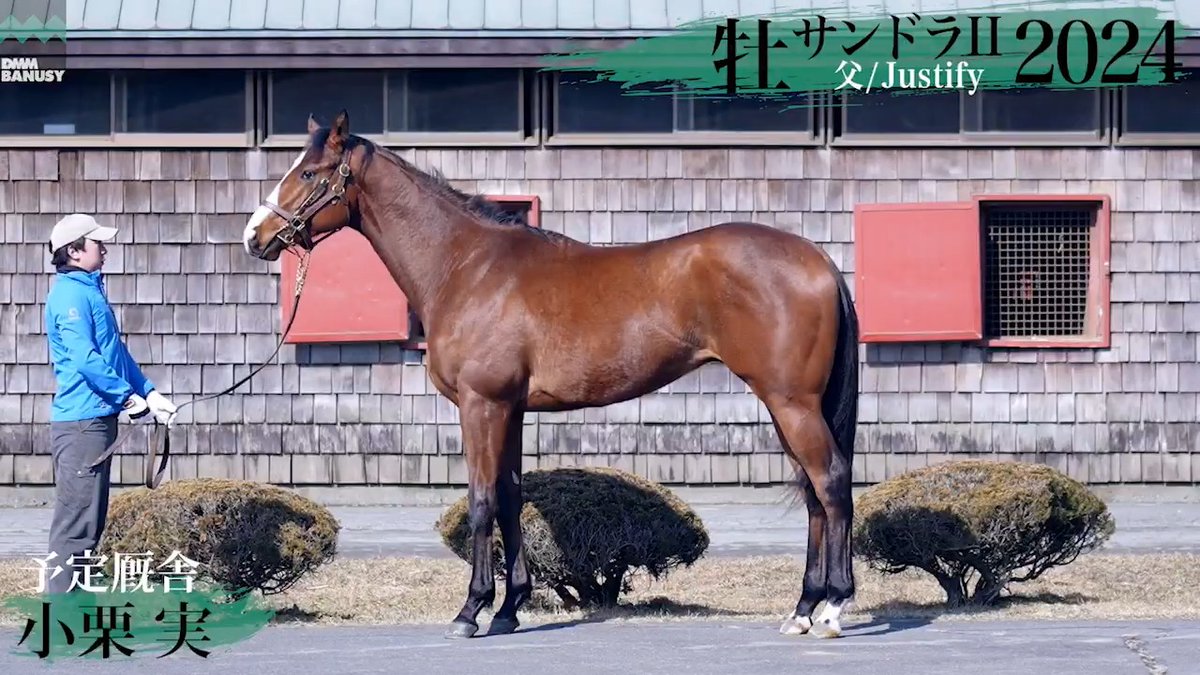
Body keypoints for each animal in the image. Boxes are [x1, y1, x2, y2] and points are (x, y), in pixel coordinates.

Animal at [241, 111, 861, 640]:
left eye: (310, 172)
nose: (255, 236)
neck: (467, 267)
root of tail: (820, 261)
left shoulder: (481, 405)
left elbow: (482, 501)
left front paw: (470, 611)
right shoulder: (510, 409)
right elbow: (511, 497)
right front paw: (509, 610)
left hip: (791, 402)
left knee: (830, 482)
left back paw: (832, 607)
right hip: (785, 404)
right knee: (812, 494)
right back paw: (802, 609)